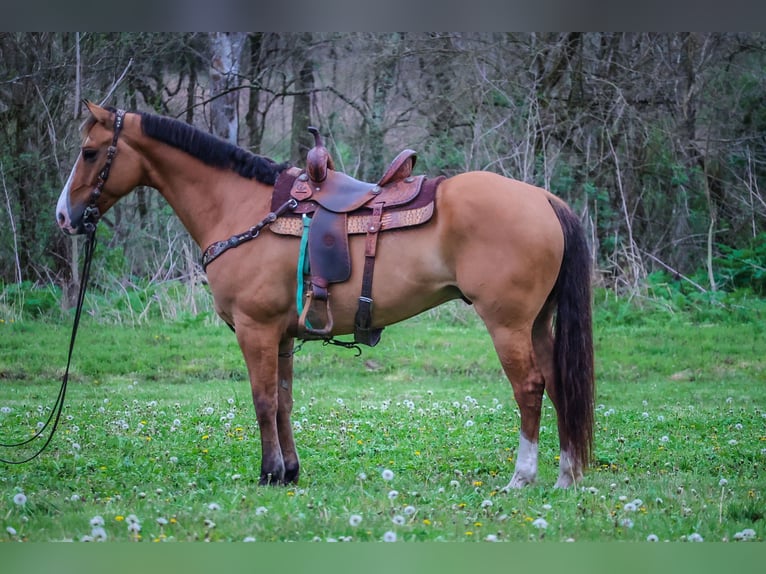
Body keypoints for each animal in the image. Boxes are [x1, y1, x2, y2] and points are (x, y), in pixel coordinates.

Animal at [57, 102, 596, 490]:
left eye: (89, 151)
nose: (64, 217)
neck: (243, 208)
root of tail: (545, 199)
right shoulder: (279, 336)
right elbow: (284, 402)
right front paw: (289, 472)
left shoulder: (255, 330)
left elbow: (262, 400)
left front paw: (269, 473)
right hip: (537, 323)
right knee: (557, 382)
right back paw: (566, 475)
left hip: (507, 324)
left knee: (529, 388)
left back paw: (522, 477)